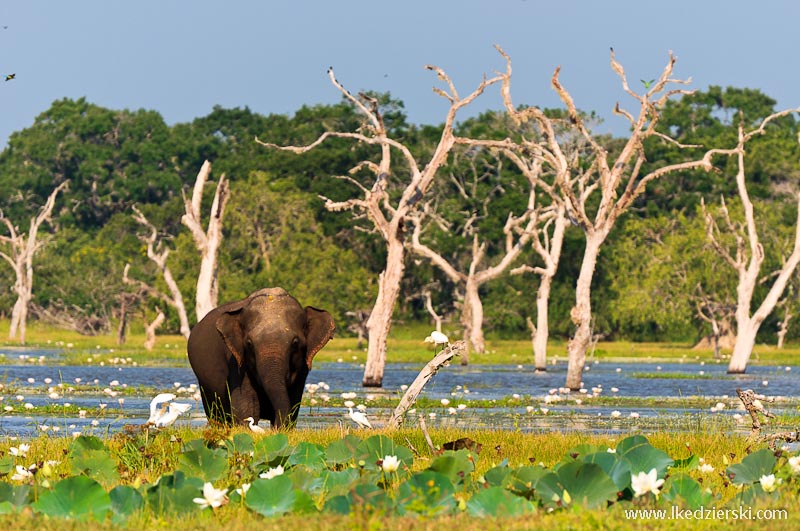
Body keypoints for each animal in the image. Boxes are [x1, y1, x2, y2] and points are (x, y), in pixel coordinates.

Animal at [188, 288, 334, 430]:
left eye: (295, 343)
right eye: (249, 343)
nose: (276, 427)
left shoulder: (302, 367)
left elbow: (293, 399)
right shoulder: (236, 361)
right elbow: (247, 404)